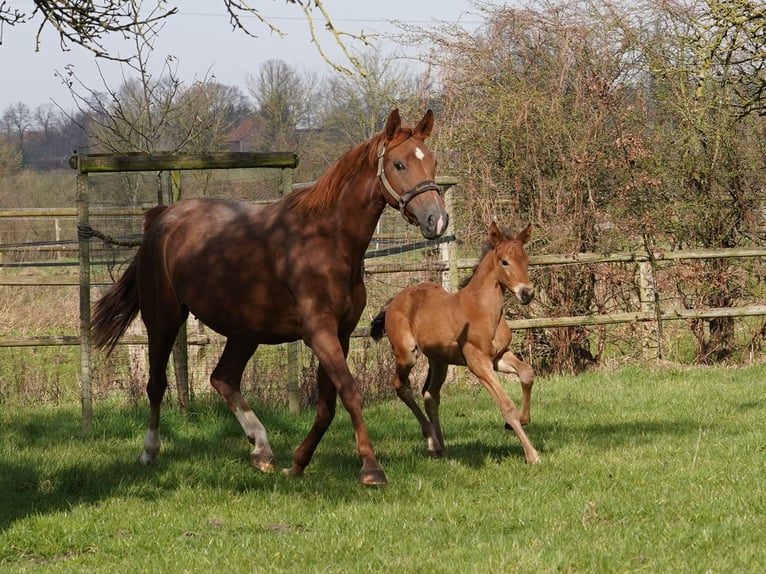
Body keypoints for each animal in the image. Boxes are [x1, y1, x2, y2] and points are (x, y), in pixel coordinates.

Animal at [91, 109, 450, 486]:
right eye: (399, 164)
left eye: (432, 161)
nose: (436, 220)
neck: (327, 240)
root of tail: (161, 219)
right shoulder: (319, 333)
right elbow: (350, 393)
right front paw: (370, 467)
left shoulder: (340, 334)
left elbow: (326, 405)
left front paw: (299, 462)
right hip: (163, 319)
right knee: (157, 384)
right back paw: (150, 451)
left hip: (245, 331)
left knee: (223, 378)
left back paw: (261, 449)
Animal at [370, 223, 540, 466]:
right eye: (505, 261)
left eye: (526, 260)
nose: (527, 293)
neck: (482, 309)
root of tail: (393, 302)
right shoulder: (477, 362)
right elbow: (506, 405)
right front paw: (532, 454)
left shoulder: (499, 356)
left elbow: (527, 372)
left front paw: (521, 420)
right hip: (407, 355)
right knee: (400, 385)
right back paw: (432, 442)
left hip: (439, 360)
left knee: (430, 395)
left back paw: (441, 449)